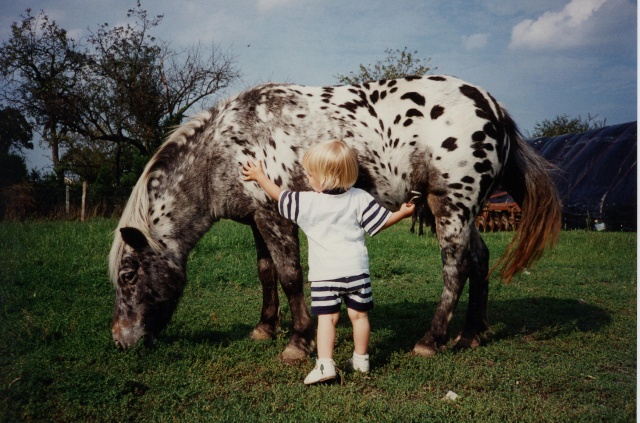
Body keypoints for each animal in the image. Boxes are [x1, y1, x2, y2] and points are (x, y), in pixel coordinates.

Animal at [109, 74, 560, 360]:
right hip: (460, 210)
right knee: (479, 259)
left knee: (456, 267)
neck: (229, 146)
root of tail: (493, 108)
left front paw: (298, 341)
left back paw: (431, 340)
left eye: (128, 275)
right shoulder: (257, 219)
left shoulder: (277, 215)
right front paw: (264, 328)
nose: (120, 341)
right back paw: (471, 334)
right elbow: (266, 272)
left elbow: (290, 275)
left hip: (452, 204)